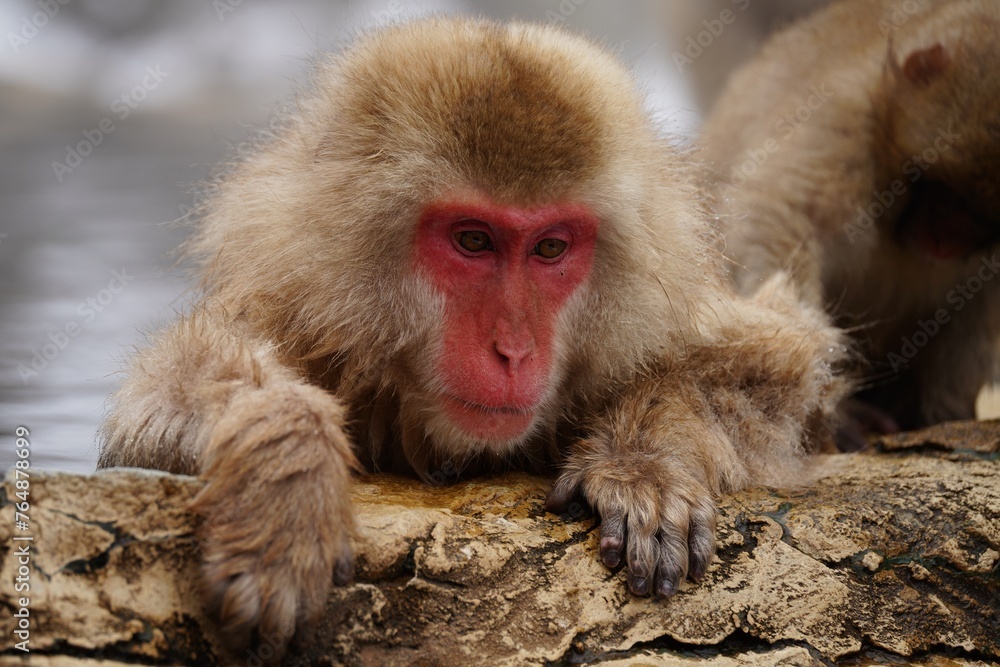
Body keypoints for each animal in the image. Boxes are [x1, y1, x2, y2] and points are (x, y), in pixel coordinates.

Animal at [98, 17, 846, 659]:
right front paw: (287, 475)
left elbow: (782, 363)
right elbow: (144, 416)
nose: (513, 350)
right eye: (474, 241)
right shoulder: (293, 308)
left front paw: (642, 460)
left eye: (549, 247)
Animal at [698, 0, 1000, 446]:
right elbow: (781, 216)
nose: (942, 241)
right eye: (939, 187)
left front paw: (944, 411)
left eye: (986, 216)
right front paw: (830, 406)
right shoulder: (842, 122)